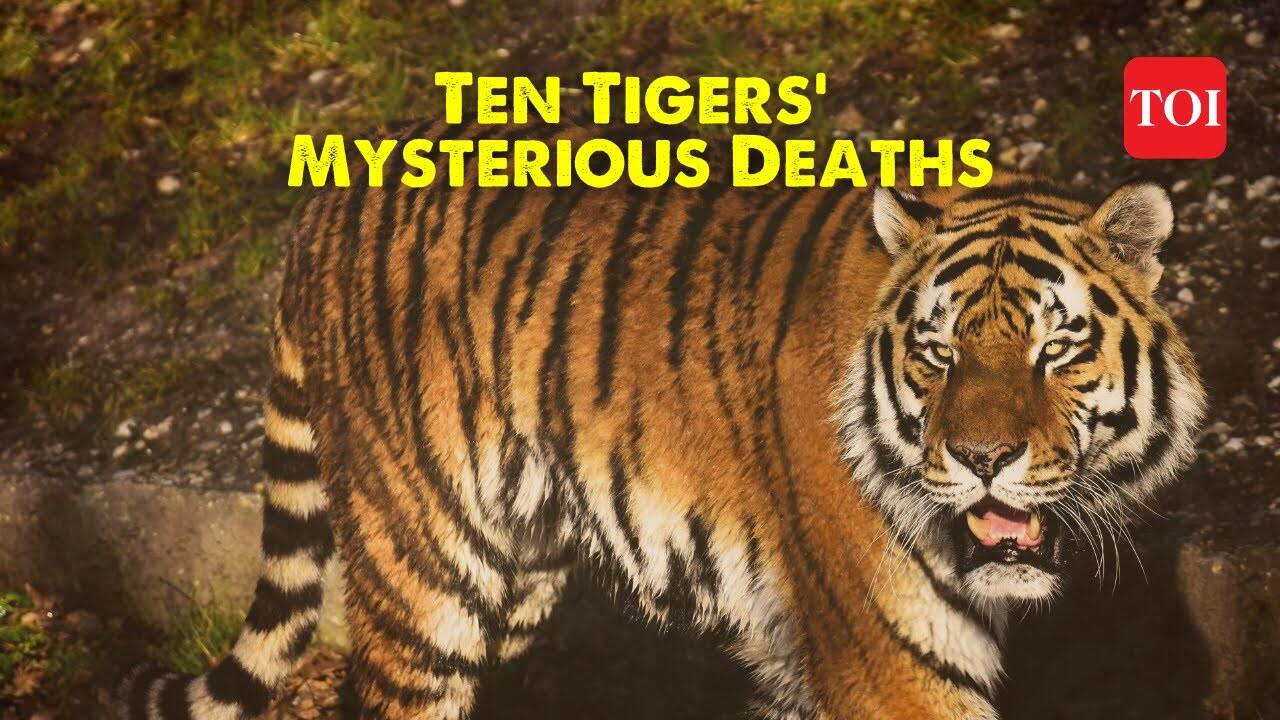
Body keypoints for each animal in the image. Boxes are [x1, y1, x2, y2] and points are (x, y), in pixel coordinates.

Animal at [118, 120, 1205, 720]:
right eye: (937, 356)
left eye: (1056, 350)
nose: (982, 458)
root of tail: (322, 208)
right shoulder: (893, 666)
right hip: (424, 570)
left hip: (517, 576)